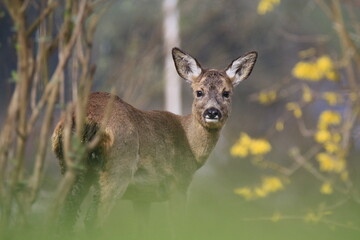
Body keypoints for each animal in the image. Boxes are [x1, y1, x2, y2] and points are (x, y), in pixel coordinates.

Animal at [52, 47, 258, 232]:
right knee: (93, 220)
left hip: (71, 169)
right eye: (199, 92)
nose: (212, 112)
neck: (190, 146)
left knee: (62, 217)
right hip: (117, 168)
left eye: (226, 92)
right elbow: (178, 228)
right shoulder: (179, 182)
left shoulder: (142, 197)